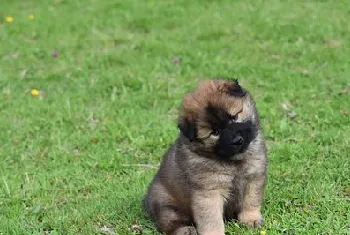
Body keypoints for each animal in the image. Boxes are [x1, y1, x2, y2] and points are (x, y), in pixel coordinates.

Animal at [144, 79, 266, 235]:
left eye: (234, 117)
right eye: (215, 132)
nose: (237, 140)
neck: (233, 161)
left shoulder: (253, 178)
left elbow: (250, 201)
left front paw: (251, 219)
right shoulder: (208, 192)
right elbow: (211, 218)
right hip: (167, 206)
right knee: (169, 223)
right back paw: (185, 230)